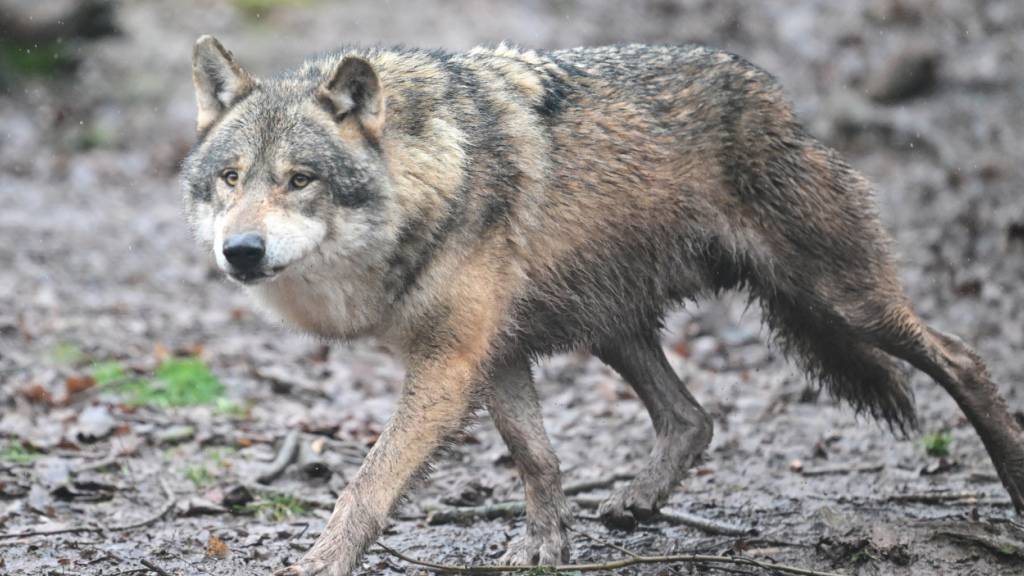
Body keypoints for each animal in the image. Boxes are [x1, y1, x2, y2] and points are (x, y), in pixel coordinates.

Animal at [181, 36, 1024, 575]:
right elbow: (538, 457)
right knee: (692, 417)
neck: (429, 176)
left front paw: (321, 562)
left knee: (965, 358)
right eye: (231, 177)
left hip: (842, 301)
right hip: (612, 326)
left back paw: (1014, 482)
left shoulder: (449, 364)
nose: (240, 250)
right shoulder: (495, 353)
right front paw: (545, 549)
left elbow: (366, 485)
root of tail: (779, 99)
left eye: (299, 180)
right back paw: (637, 504)